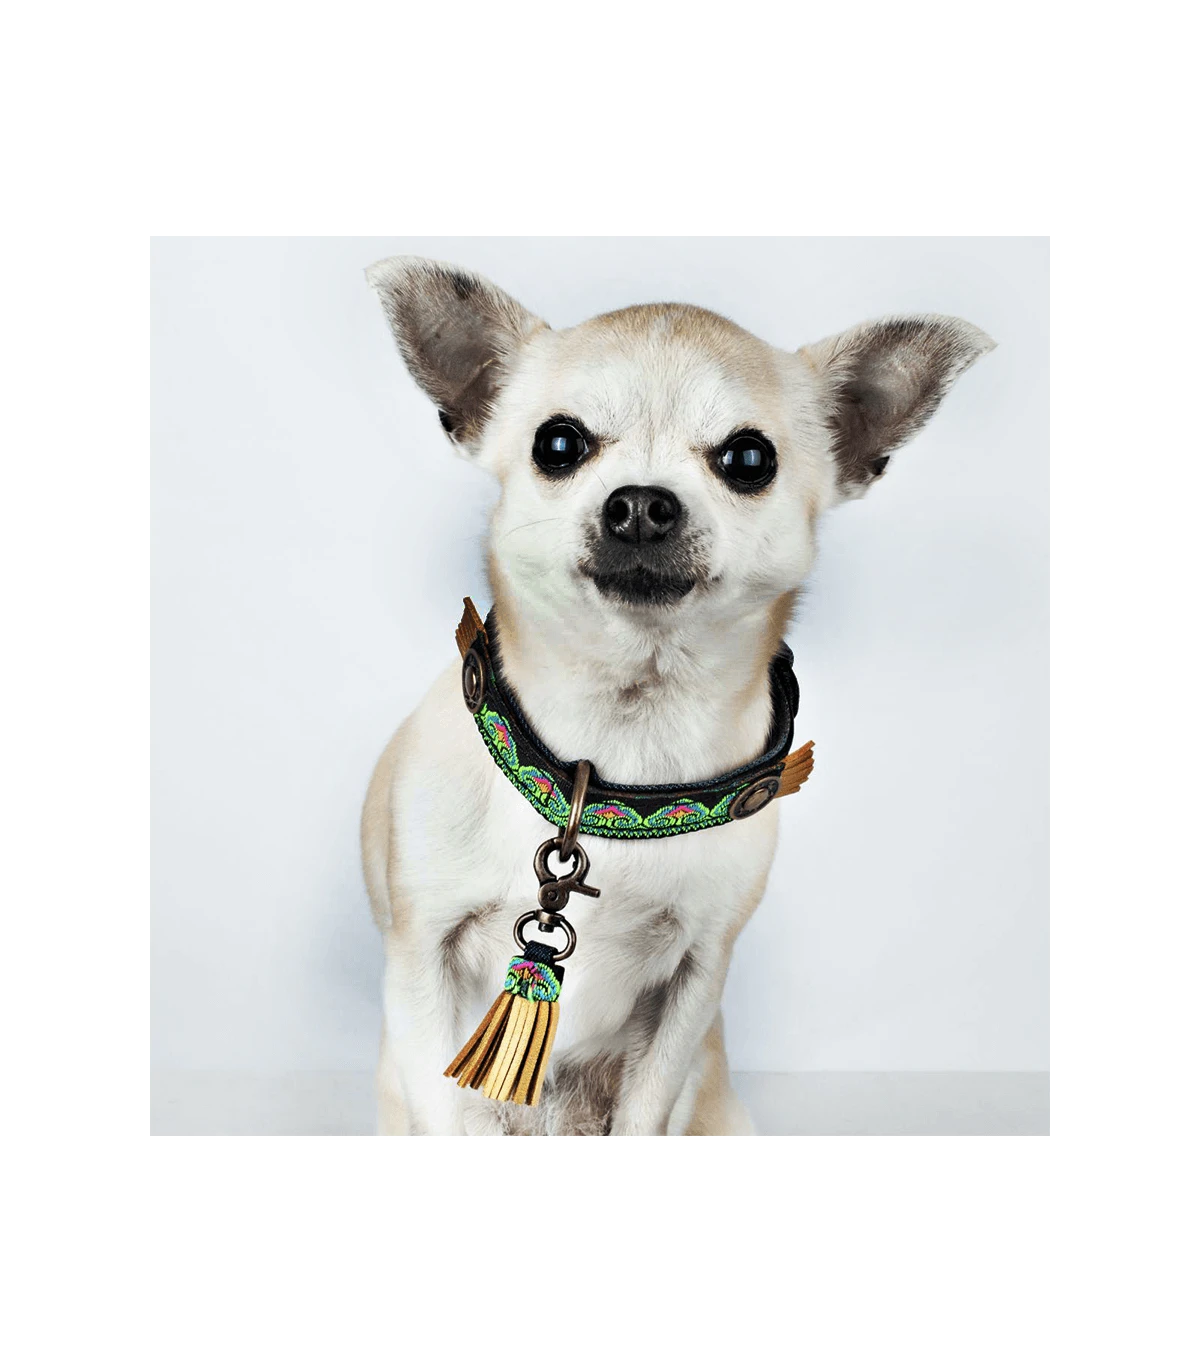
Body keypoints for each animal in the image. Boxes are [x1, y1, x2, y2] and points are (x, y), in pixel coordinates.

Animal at [361, 256, 993, 1135]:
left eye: (749, 460)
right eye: (558, 444)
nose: (639, 502)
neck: (614, 752)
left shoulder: (692, 984)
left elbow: (648, 1103)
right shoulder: (424, 966)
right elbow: (448, 1101)